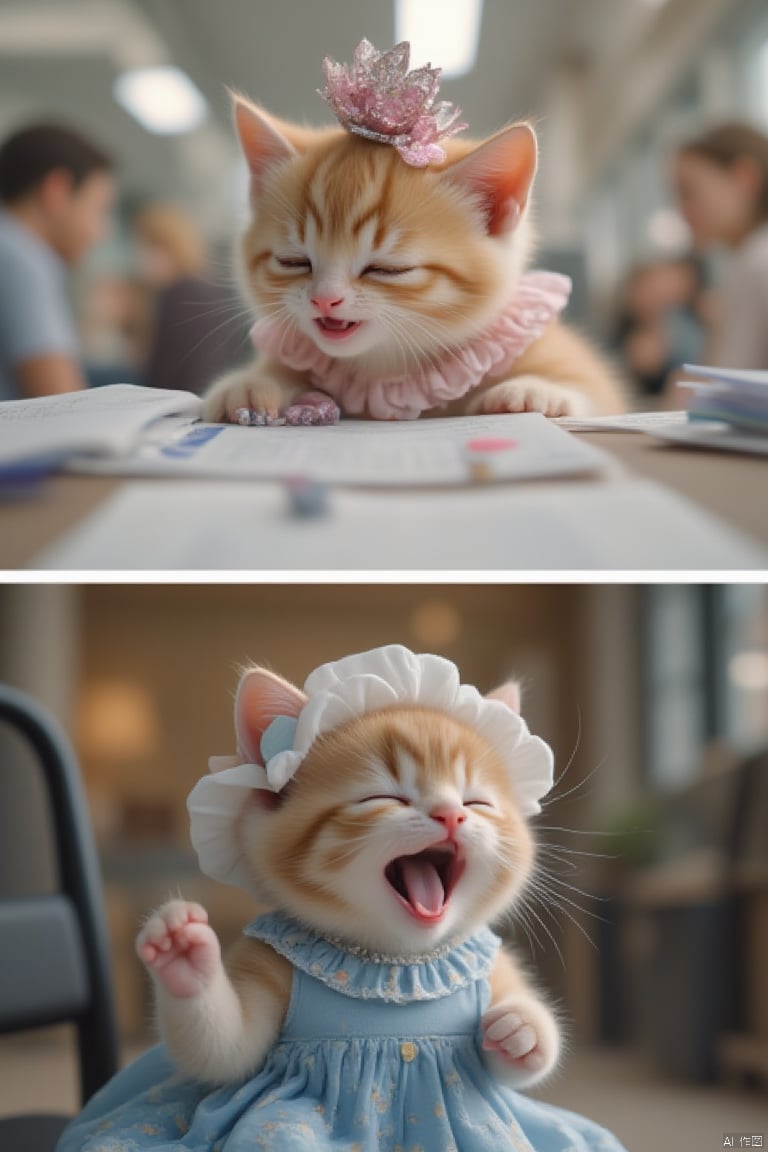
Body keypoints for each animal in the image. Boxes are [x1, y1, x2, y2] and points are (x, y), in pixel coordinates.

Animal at [136, 668, 559, 1087]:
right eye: (383, 798)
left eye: (476, 802)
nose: (451, 813)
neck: (397, 962)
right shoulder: (264, 961)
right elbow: (223, 1054)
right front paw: (185, 952)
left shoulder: (493, 968)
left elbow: (505, 1073)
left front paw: (524, 1028)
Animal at [202, 96, 626, 426]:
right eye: (294, 261)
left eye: (388, 268)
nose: (325, 299)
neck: (385, 368)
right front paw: (251, 385)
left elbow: (601, 395)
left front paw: (536, 390)